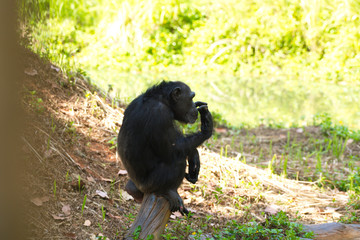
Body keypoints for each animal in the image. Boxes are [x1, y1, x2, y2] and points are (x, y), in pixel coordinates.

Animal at [118, 80, 214, 214]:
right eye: (191, 98)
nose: (194, 106)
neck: (164, 100)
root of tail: (138, 188)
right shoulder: (160, 114)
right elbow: (174, 150)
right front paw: (207, 125)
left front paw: (194, 156)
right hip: (151, 184)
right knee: (178, 160)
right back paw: (169, 192)